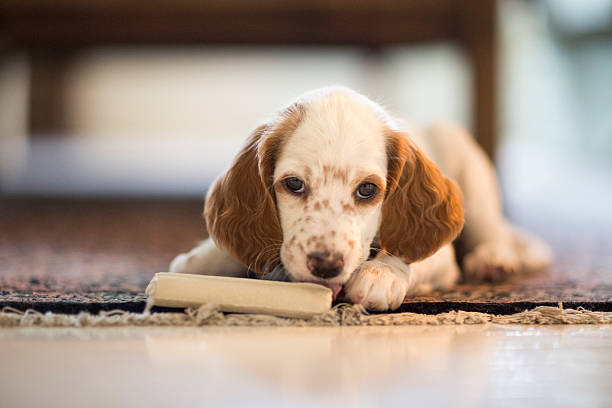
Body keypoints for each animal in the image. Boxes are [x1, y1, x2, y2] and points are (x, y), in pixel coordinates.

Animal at [170, 86, 552, 310]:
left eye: (367, 190)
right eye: (293, 184)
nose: (326, 266)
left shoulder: (441, 258)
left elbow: (405, 253)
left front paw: (380, 276)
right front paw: (202, 259)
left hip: (471, 174)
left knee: (493, 232)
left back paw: (493, 259)